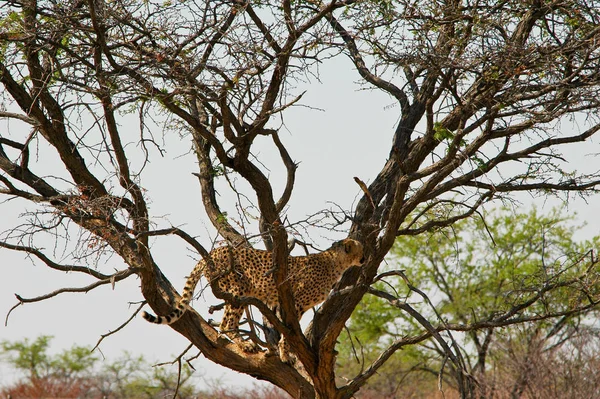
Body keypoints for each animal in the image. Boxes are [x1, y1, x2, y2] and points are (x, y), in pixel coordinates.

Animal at [143, 238, 364, 354]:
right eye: (360, 247)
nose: (364, 257)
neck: (336, 263)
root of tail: (213, 252)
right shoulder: (296, 302)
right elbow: (289, 329)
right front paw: (286, 352)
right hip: (237, 290)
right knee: (226, 323)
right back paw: (244, 344)